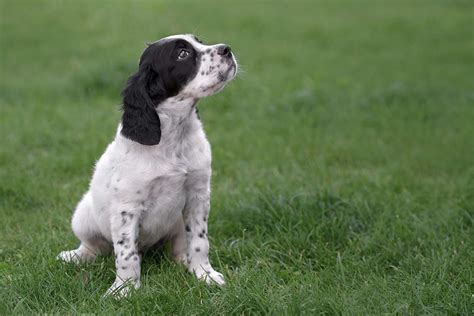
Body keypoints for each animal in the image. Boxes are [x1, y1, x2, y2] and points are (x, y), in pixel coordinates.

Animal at [57, 34, 239, 296]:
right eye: (182, 54)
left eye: (200, 41)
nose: (227, 49)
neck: (174, 138)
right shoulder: (127, 208)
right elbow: (126, 254)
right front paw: (123, 290)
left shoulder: (198, 195)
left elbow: (199, 241)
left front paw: (204, 274)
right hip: (82, 216)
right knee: (94, 246)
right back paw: (74, 256)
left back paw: (182, 261)